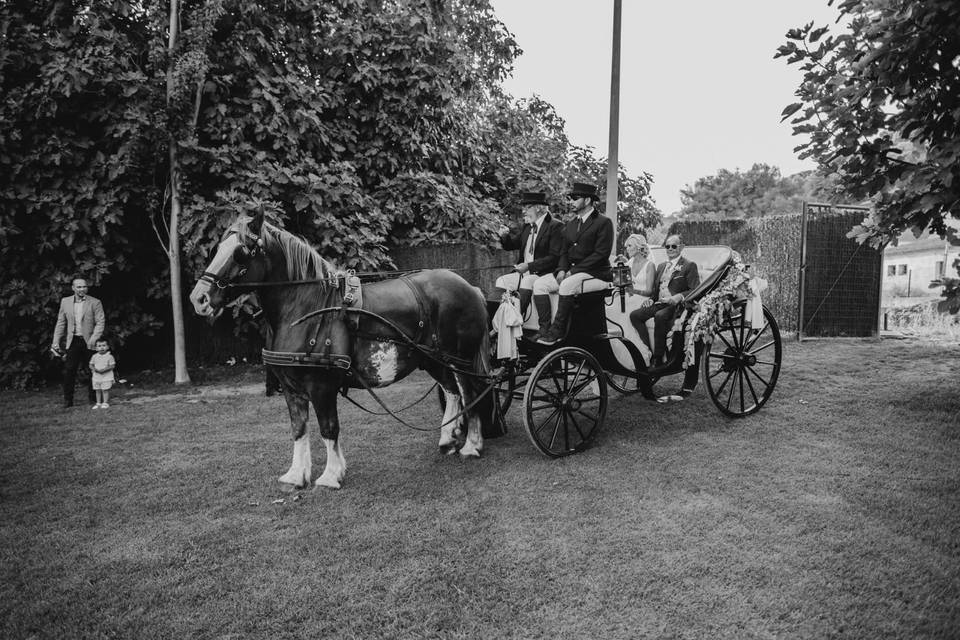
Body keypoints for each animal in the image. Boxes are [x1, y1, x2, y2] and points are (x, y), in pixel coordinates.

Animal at [188, 212, 496, 488]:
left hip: (461, 360)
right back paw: (448, 438)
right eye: (217, 248)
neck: (304, 309)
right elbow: (298, 428)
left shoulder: (321, 386)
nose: (198, 298)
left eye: (241, 252)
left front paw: (331, 475)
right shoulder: (290, 386)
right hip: (433, 359)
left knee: (470, 394)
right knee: (452, 392)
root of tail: (471, 287)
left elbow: (328, 428)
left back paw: (472, 445)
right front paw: (296, 475)